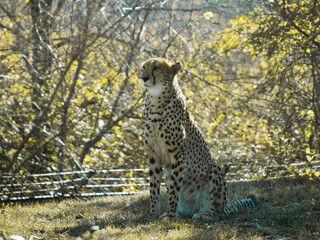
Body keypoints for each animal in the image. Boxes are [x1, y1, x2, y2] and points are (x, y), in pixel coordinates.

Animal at [141, 57, 228, 218]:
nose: (144, 77)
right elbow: (154, 187)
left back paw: (202, 215)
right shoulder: (153, 154)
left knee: (216, 212)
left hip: (214, 168)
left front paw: (170, 215)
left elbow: (175, 186)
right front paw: (153, 213)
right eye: (143, 67)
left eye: (156, 68)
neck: (156, 100)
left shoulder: (177, 154)